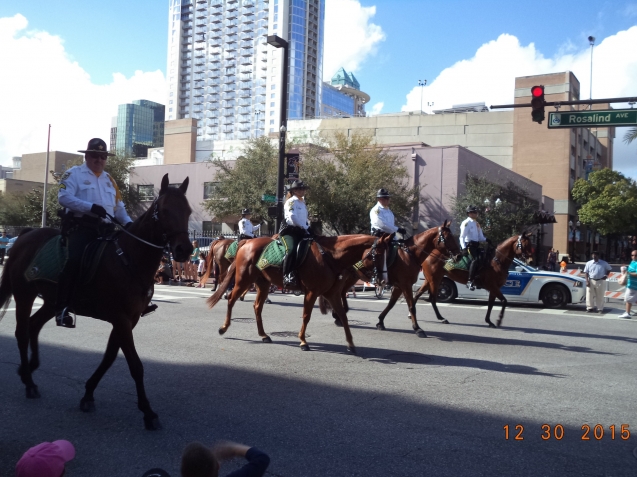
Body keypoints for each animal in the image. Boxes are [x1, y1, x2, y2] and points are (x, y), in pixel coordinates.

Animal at [0, 174, 191, 428]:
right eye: (165, 209)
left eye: (188, 210)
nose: (184, 250)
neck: (129, 258)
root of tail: (26, 235)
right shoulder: (121, 319)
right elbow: (135, 365)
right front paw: (148, 412)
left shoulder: (128, 320)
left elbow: (109, 357)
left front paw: (88, 394)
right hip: (24, 295)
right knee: (22, 332)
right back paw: (29, 383)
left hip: (52, 302)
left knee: (34, 326)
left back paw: (27, 369)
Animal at [206, 232, 392, 352]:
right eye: (377, 254)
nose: (384, 281)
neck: (330, 256)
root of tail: (247, 243)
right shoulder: (312, 292)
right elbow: (306, 316)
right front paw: (303, 341)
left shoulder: (332, 294)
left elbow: (344, 316)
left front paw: (351, 344)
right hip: (243, 279)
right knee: (231, 298)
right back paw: (224, 327)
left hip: (263, 284)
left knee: (257, 306)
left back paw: (264, 335)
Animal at [330, 222, 460, 336]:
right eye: (448, 237)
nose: (459, 255)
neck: (410, 255)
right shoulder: (405, 285)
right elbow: (411, 306)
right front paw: (417, 328)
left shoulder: (399, 286)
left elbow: (391, 304)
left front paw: (380, 321)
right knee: (339, 292)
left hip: (353, 276)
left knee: (342, 292)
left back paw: (338, 315)